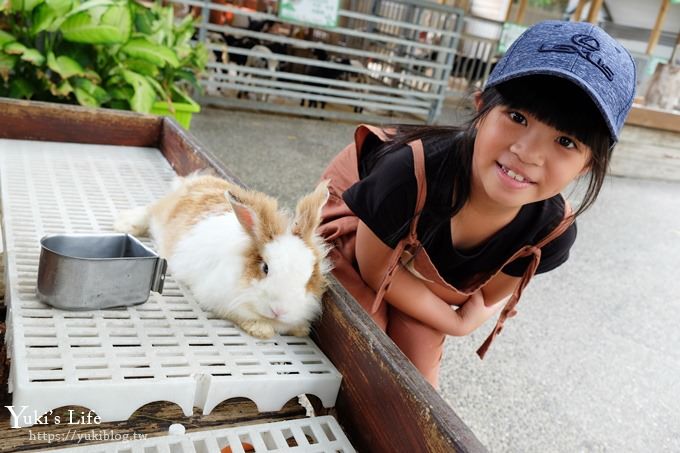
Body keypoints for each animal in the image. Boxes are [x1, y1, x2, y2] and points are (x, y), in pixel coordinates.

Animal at [115, 175, 332, 338]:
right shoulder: (217, 298)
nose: (280, 311)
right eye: (265, 267)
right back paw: (125, 224)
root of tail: (197, 181)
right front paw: (261, 330)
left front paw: (301, 329)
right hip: (161, 211)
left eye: (310, 276)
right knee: (149, 210)